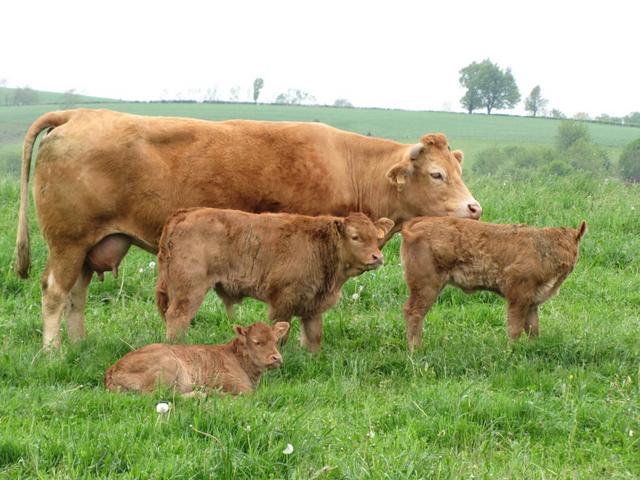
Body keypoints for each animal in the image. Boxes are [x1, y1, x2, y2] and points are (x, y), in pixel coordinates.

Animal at [105, 322, 290, 395]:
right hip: (168, 364)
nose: (277, 358)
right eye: (257, 342)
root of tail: (111, 370)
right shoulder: (233, 383)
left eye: (275, 340)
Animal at [156, 208, 394, 351]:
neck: (321, 247)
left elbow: (314, 336)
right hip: (190, 290)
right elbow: (280, 333)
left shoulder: (313, 306)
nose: (377, 257)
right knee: (178, 316)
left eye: (376, 237)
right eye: (355, 237)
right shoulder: (282, 302)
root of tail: (184, 214)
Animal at [400, 217, 587, 350]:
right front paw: (511, 351)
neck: (546, 248)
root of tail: (417, 222)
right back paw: (415, 350)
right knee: (414, 312)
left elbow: (533, 328)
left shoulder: (532, 300)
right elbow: (515, 327)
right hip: (426, 286)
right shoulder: (518, 295)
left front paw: (533, 348)